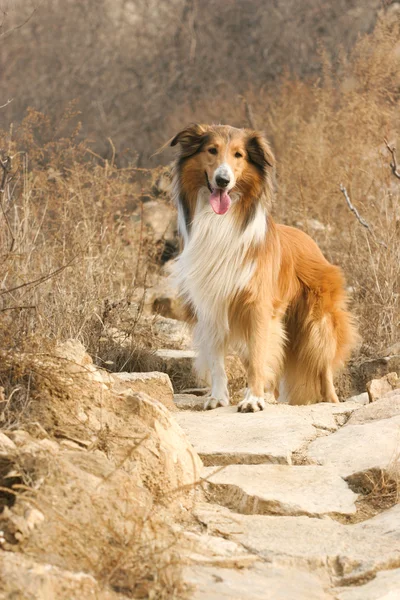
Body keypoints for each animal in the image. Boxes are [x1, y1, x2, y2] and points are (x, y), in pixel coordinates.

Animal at [169, 123, 356, 410]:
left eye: (239, 155)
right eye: (212, 150)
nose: (222, 181)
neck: (221, 222)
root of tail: (311, 241)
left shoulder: (258, 306)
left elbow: (259, 359)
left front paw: (253, 400)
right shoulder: (211, 305)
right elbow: (217, 360)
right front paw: (218, 397)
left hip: (316, 324)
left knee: (322, 366)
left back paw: (331, 401)